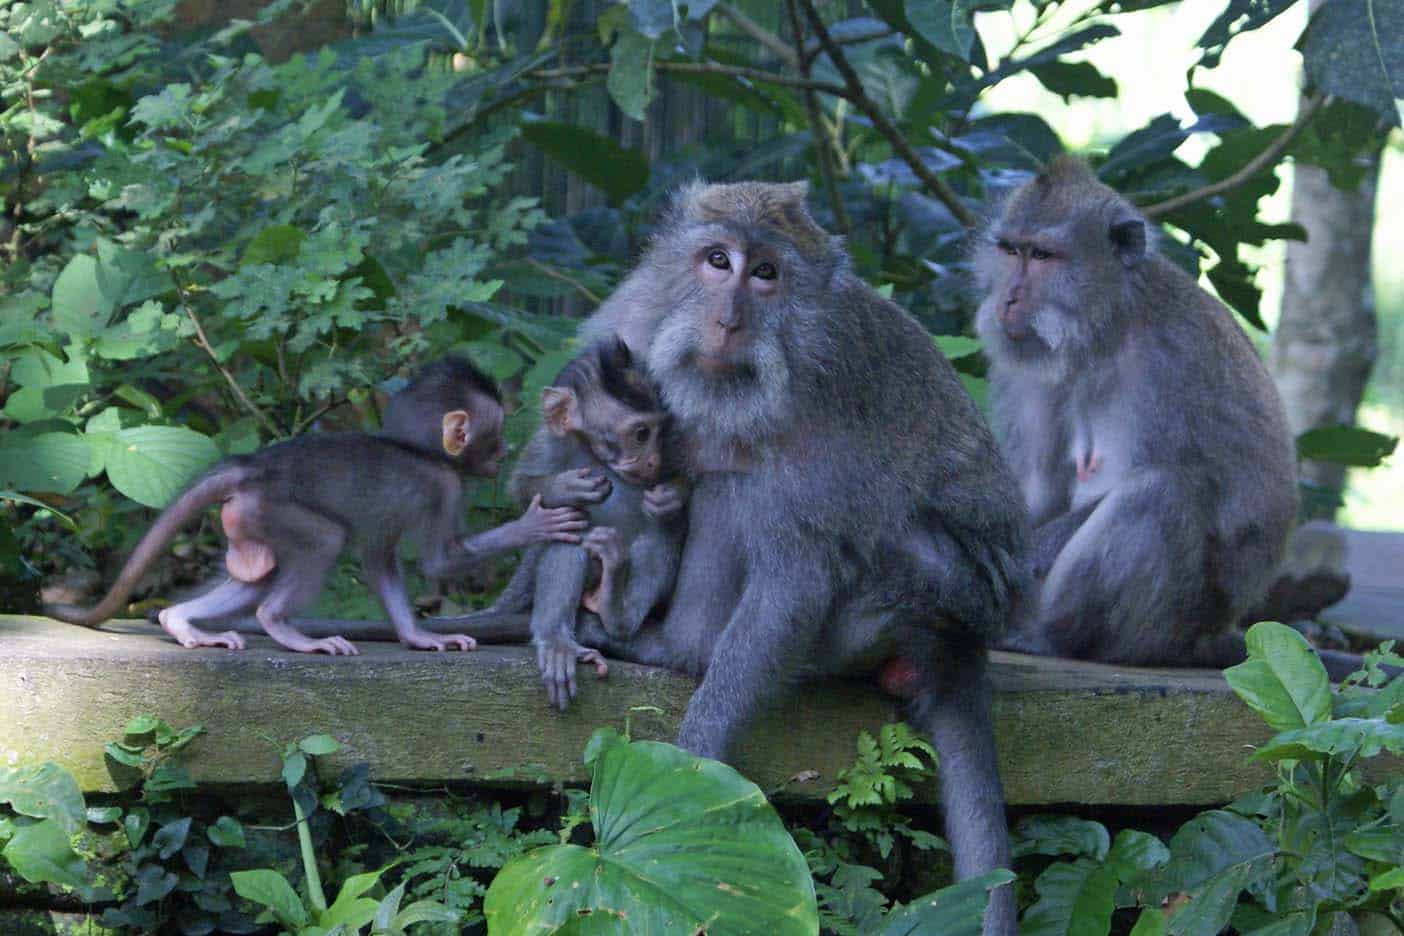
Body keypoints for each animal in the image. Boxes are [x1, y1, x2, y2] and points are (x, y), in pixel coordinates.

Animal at [42, 355, 581, 656]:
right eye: (494, 439)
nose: (505, 453)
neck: (416, 449)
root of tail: (255, 467)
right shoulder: (444, 484)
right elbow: (439, 560)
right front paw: (534, 524)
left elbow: (379, 559)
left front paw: (421, 638)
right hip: (274, 509)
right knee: (321, 543)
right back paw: (285, 629)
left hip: (249, 519)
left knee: (256, 577)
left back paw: (182, 623)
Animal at [446, 336, 687, 710]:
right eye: (640, 434)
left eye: (659, 433)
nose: (652, 461)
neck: (594, 455)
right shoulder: (547, 441)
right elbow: (521, 487)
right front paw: (563, 487)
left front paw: (670, 498)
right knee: (572, 529)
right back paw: (557, 640)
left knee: (658, 533)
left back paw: (617, 614)